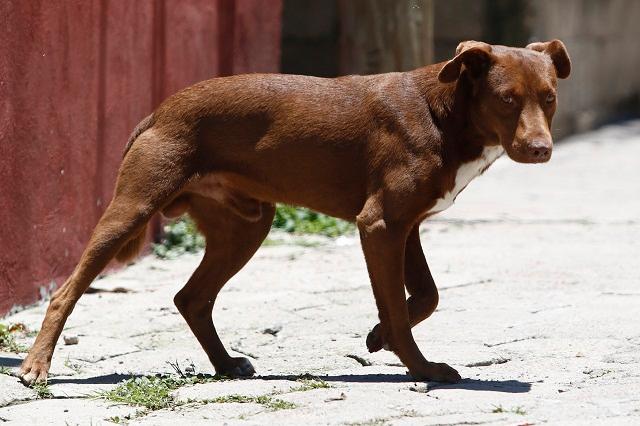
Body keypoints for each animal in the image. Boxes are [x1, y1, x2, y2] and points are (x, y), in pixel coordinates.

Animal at [20, 40, 568, 384]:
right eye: (506, 100)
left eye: (549, 98)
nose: (541, 150)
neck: (445, 112)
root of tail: (159, 110)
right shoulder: (380, 224)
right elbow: (399, 305)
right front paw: (421, 367)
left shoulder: (405, 225)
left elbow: (425, 296)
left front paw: (378, 337)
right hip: (133, 207)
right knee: (66, 292)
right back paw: (36, 368)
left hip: (245, 227)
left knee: (191, 297)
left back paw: (225, 365)